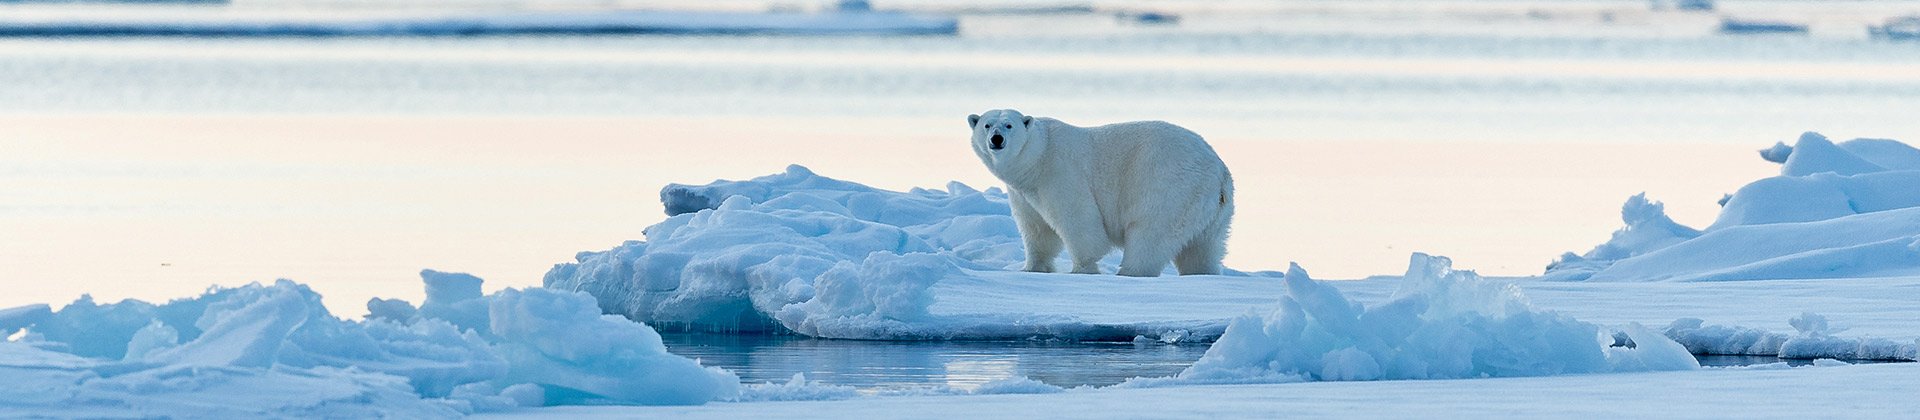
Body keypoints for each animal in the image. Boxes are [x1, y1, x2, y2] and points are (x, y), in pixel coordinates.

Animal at [967, 109, 1236, 278]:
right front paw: (1032, 267)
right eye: (987, 125)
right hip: (1211, 209)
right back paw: (1202, 272)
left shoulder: (1059, 171)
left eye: (1009, 125)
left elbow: (1078, 220)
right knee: (1202, 248)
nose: (996, 139)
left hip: (1168, 187)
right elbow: (1037, 229)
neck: (1037, 156)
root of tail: (1219, 171)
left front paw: (1081, 268)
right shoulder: (1024, 192)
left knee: (1149, 234)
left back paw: (1129, 271)